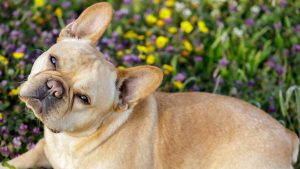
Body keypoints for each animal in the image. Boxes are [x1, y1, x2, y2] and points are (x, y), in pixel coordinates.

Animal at [1, 2, 298, 169]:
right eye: (53, 60)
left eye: (83, 98)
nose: (54, 87)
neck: (73, 140)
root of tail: (288, 135)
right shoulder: (42, 150)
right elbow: (16, 162)